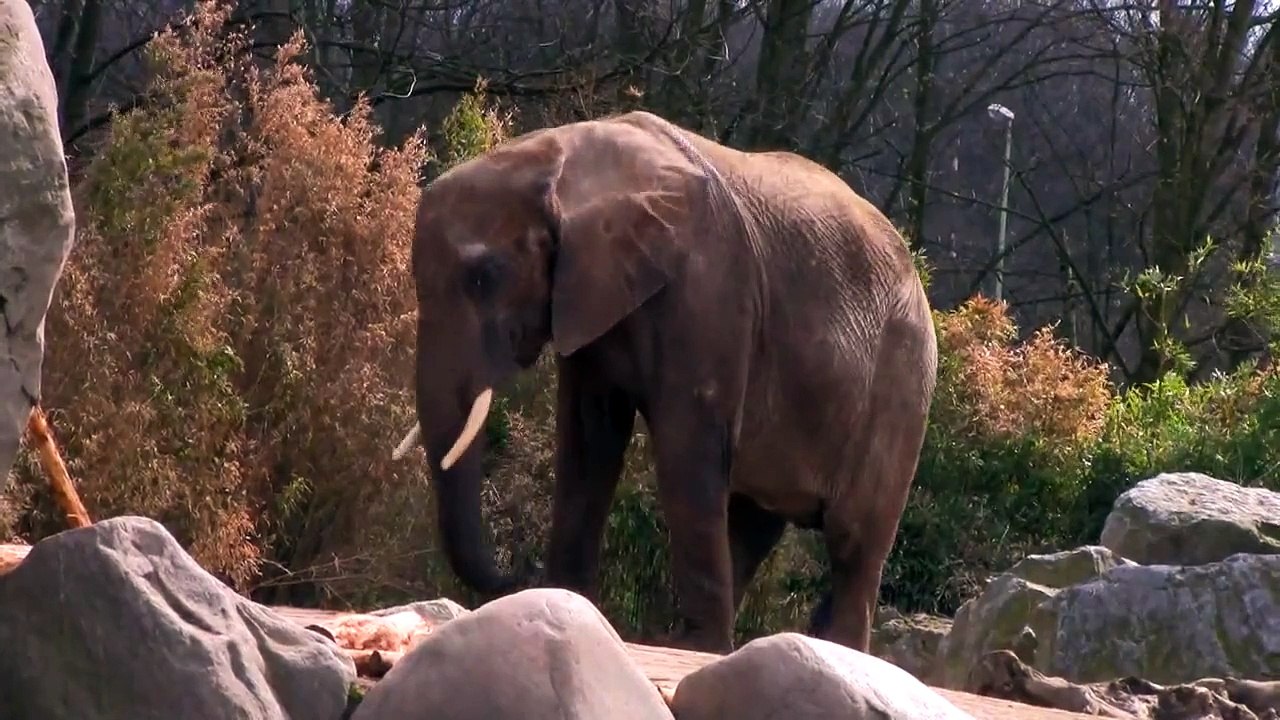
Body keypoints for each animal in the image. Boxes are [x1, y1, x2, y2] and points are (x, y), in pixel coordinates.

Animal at [390, 110, 938, 655]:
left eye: (485, 275)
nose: (514, 575)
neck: (560, 159)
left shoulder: (708, 292)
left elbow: (684, 444)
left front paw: (696, 646)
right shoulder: (593, 299)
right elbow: (590, 441)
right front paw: (568, 603)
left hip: (900, 385)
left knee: (853, 541)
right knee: (753, 521)